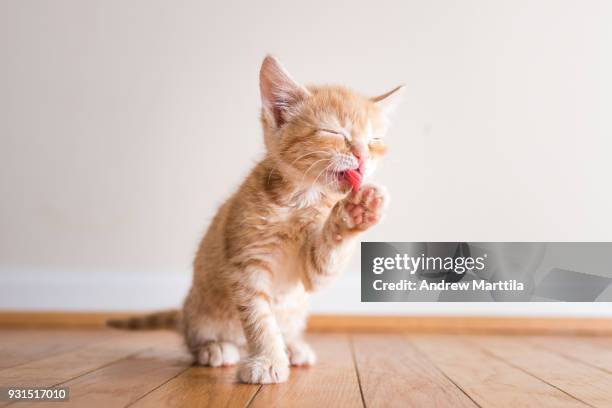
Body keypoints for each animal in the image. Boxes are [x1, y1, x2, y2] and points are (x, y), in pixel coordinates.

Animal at [112, 55, 404, 384]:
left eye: (375, 140)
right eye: (334, 133)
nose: (363, 156)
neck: (301, 200)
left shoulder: (312, 272)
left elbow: (324, 261)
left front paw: (356, 212)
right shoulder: (246, 263)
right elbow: (259, 318)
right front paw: (267, 360)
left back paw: (293, 346)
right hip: (201, 311)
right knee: (197, 339)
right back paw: (215, 348)